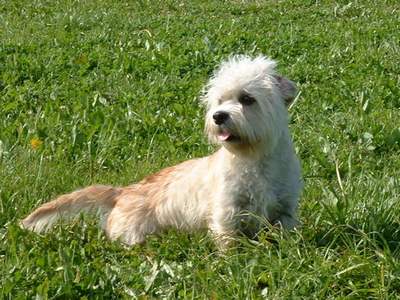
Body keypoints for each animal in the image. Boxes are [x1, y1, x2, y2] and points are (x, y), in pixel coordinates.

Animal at [20, 55, 302, 248]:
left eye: (247, 99)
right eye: (220, 100)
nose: (218, 116)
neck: (254, 159)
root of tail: (123, 192)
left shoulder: (285, 210)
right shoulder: (227, 212)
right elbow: (228, 243)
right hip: (135, 235)